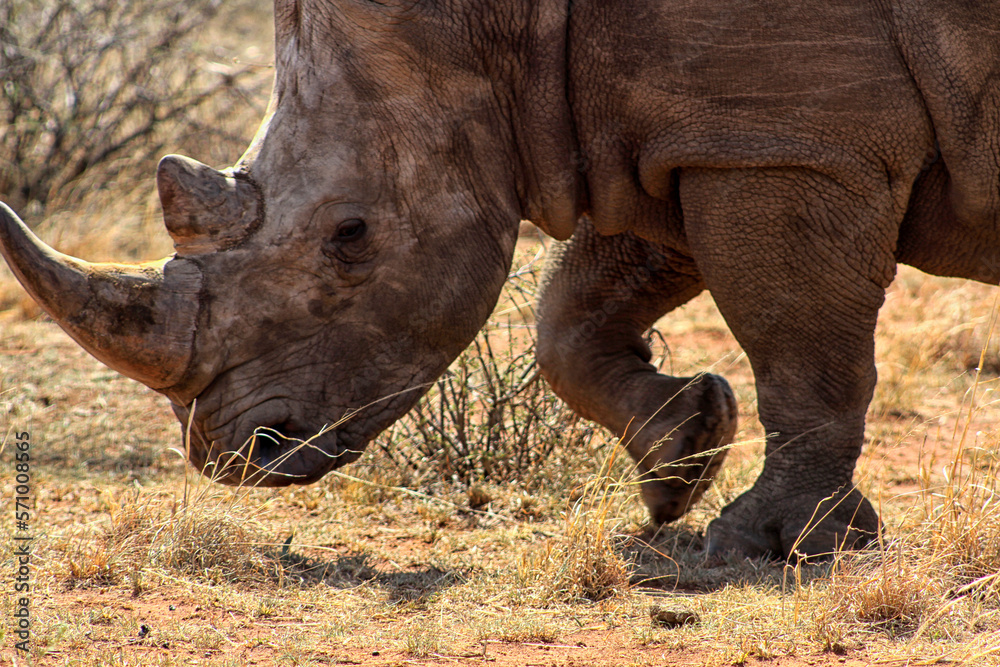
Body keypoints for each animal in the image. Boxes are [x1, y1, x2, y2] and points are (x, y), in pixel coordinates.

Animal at [2, 0, 999, 560]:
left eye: (351, 236)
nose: (240, 454)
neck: (499, 26)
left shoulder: (784, 144)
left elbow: (799, 348)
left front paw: (776, 544)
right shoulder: (680, 135)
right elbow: (571, 316)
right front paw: (684, 454)